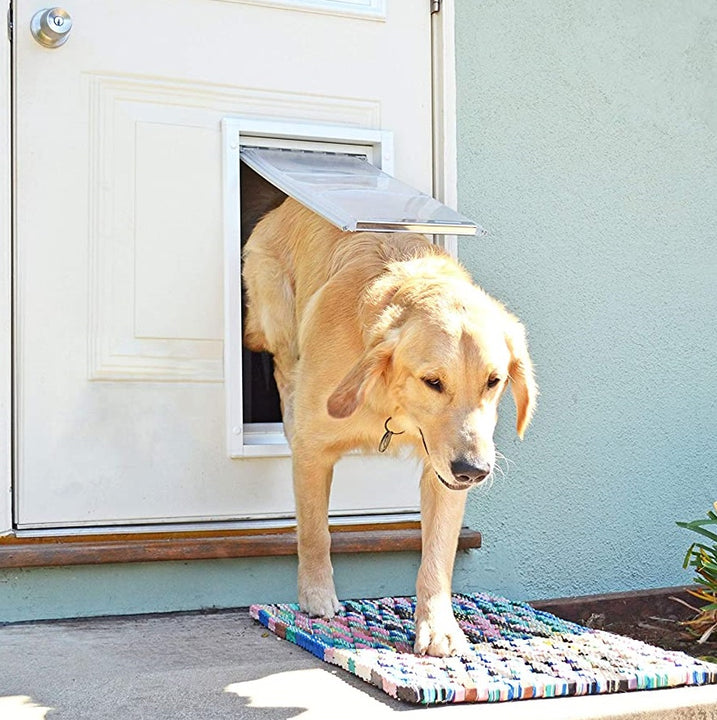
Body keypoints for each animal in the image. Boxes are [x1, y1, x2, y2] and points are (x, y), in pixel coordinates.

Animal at [243, 197, 536, 660]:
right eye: (432, 381)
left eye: (494, 381)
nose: (473, 471)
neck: (395, 407)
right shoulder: (312, 449)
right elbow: (314, 530)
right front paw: (315, 595)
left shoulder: (443, 473)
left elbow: (438, 554)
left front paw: (438, 626)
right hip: (277, 314)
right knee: (281, 363)